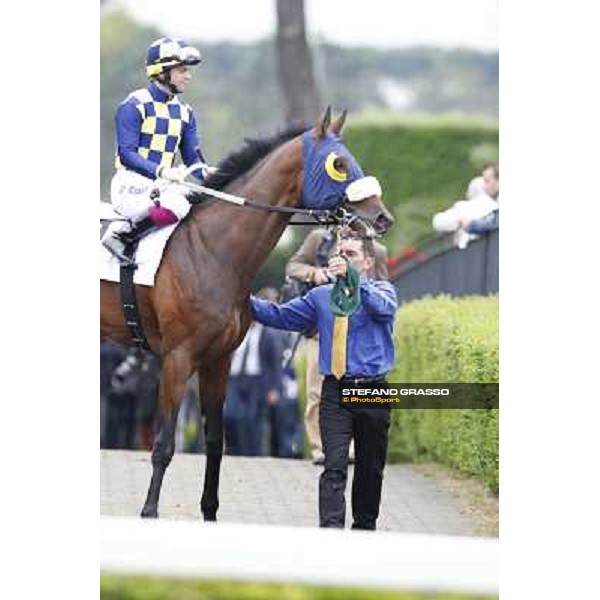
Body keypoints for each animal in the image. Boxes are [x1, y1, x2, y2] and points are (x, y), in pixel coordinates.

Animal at [99, 109, 394, 520]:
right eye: (339, 164)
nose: (381, 218)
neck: (212, 251)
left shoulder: (218, 359)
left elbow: (215, 441)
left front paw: (209, 511)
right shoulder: (177, 358)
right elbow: (164, 442)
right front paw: (150, 511)